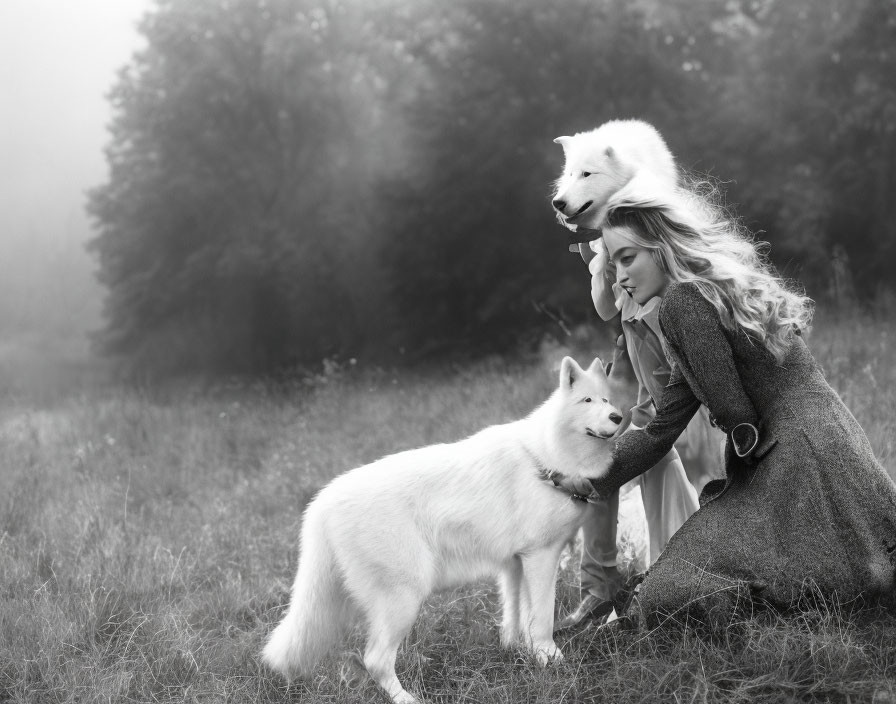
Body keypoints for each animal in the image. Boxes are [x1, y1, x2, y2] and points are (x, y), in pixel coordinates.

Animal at [262, 360, 620, 700]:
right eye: (587, 400)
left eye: (607, 399)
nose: (618, 417)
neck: (545, 458)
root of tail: (321, 503)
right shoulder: (542, 557)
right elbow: (542, 618)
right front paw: (551, 658)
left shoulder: (515, 564)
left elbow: (516, 619)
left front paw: (522, 654)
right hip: (406, 597)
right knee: (375, 660)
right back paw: (409, 699)